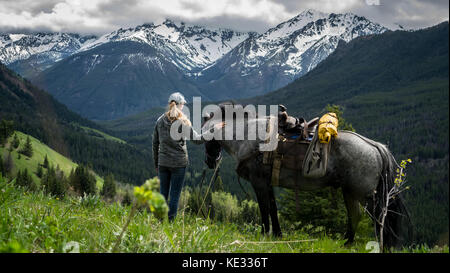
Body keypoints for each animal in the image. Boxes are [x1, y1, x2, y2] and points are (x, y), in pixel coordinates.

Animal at [202, 102, 414, 249]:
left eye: (206, 135)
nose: (210, 161)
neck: (249, 137)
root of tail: (375, 146)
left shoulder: (259, 182)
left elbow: (264, 209)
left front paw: (263, 234)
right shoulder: (268, 183)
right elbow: (273, 209)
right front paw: (278, 235)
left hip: (366, 194)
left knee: (378, 219)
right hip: (349, 191)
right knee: (355, 216)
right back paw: (346, 243)